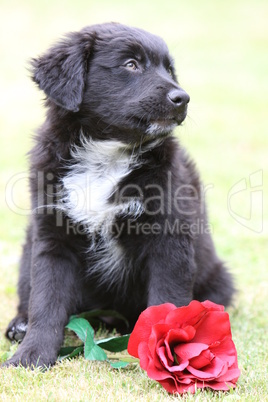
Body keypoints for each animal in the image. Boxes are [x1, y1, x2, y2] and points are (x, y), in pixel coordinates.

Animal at [4, 22, 234, 368]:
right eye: (131, 64)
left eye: (169, 69)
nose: (182, 98)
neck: (108, 155)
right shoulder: (52, 237)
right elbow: (46, 302)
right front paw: (31, 356)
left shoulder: (169, 239)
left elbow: (166, 304)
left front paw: (167, 356)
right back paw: (19, 325)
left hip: (218, 279)